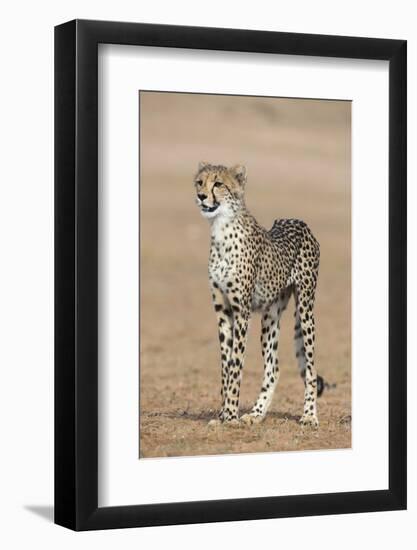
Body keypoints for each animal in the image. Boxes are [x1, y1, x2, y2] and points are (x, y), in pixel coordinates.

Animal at [193, 162, 324, 430]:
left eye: (218, 184)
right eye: (200, 182)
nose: (201, 196)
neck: (221, 229)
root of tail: (298, 220)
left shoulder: (242, 313)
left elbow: (235, 366)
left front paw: (230, 417)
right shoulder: (223, 313)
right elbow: (225, 367)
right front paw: (222, 416)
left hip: (305, 307)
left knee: (311, 369)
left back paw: (309, 415)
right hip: (270, 316)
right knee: (274, 368)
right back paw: (256, 413)